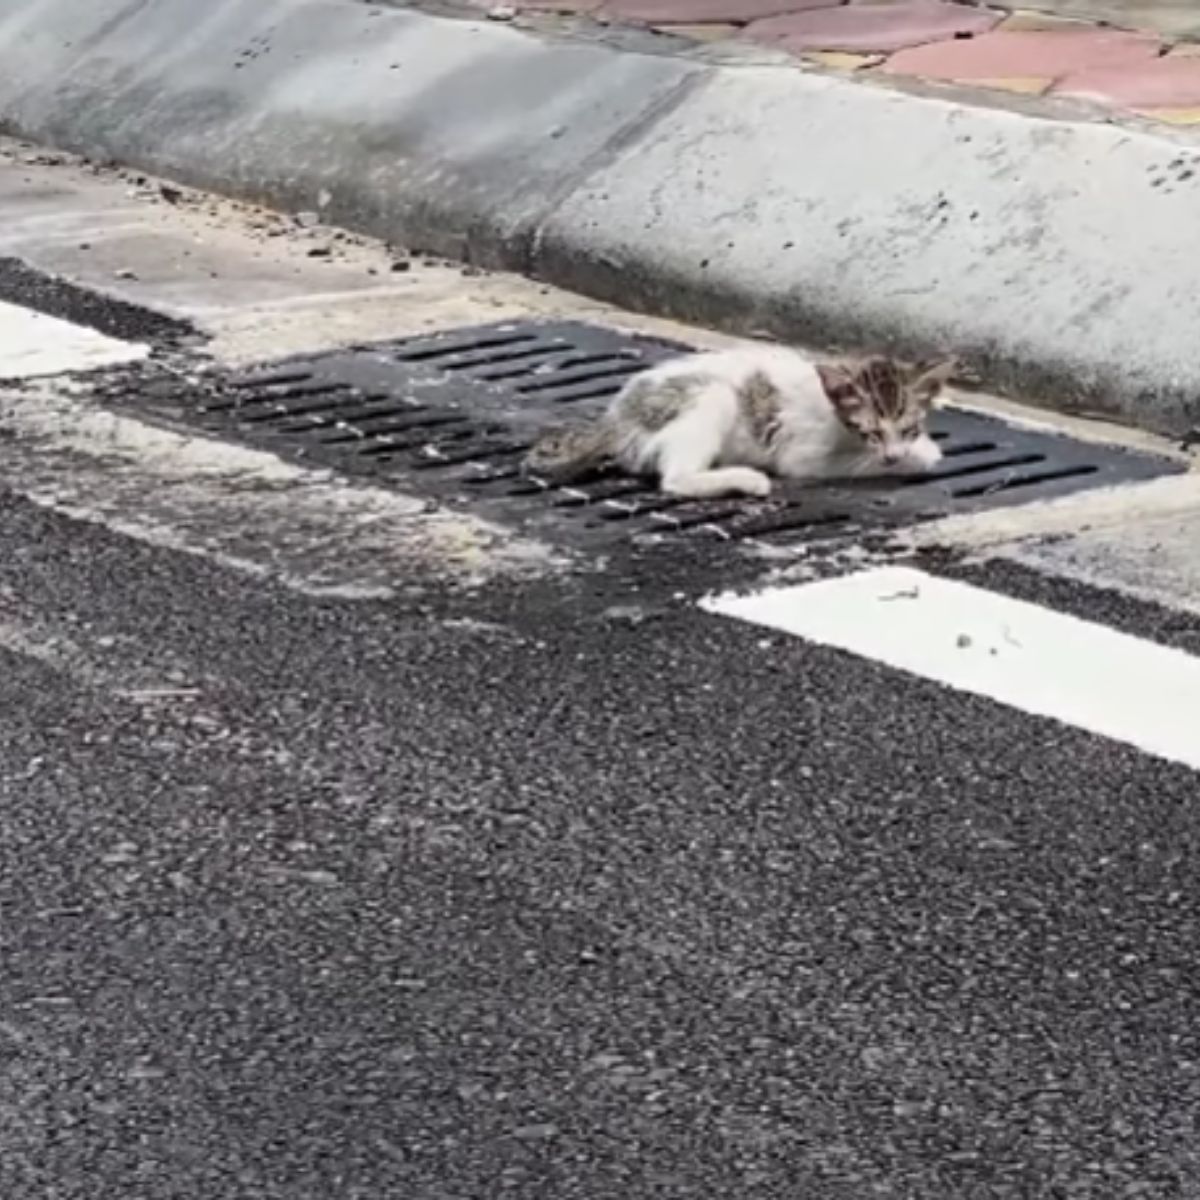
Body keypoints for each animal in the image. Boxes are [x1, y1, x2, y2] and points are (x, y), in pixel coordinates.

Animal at [525, 345, 955, 499]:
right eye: (870, 432)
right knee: (676, 480)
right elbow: (856, 464)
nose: (893, 454)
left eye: (908, 427)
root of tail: (615, 418)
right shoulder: (805, 456)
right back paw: (746, 479)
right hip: (709, 398)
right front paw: (920, 457)